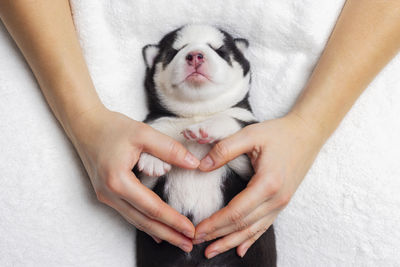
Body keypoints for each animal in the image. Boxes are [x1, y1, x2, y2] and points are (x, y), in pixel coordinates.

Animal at [135, 25, 278, 267]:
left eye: (220, 50)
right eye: (174, 51)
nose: (195, 55)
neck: (197, 111)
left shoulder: (250, 165)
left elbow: (232, 121)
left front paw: (209, 127)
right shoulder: (145, 185)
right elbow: (157, 137)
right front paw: (153, 159)